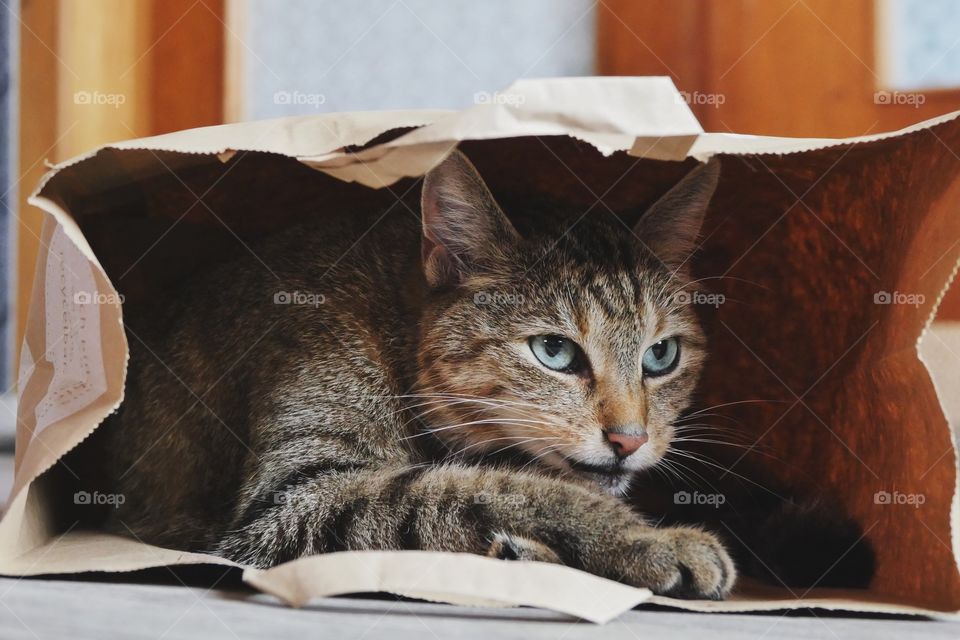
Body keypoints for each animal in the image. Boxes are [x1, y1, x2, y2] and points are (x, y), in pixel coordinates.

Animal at [97, 149, 736, 600]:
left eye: (661, 356)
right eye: (554, 351)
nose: (630, 439)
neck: (394, 330)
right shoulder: (294, 500)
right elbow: (488, 489)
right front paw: (649, 538)